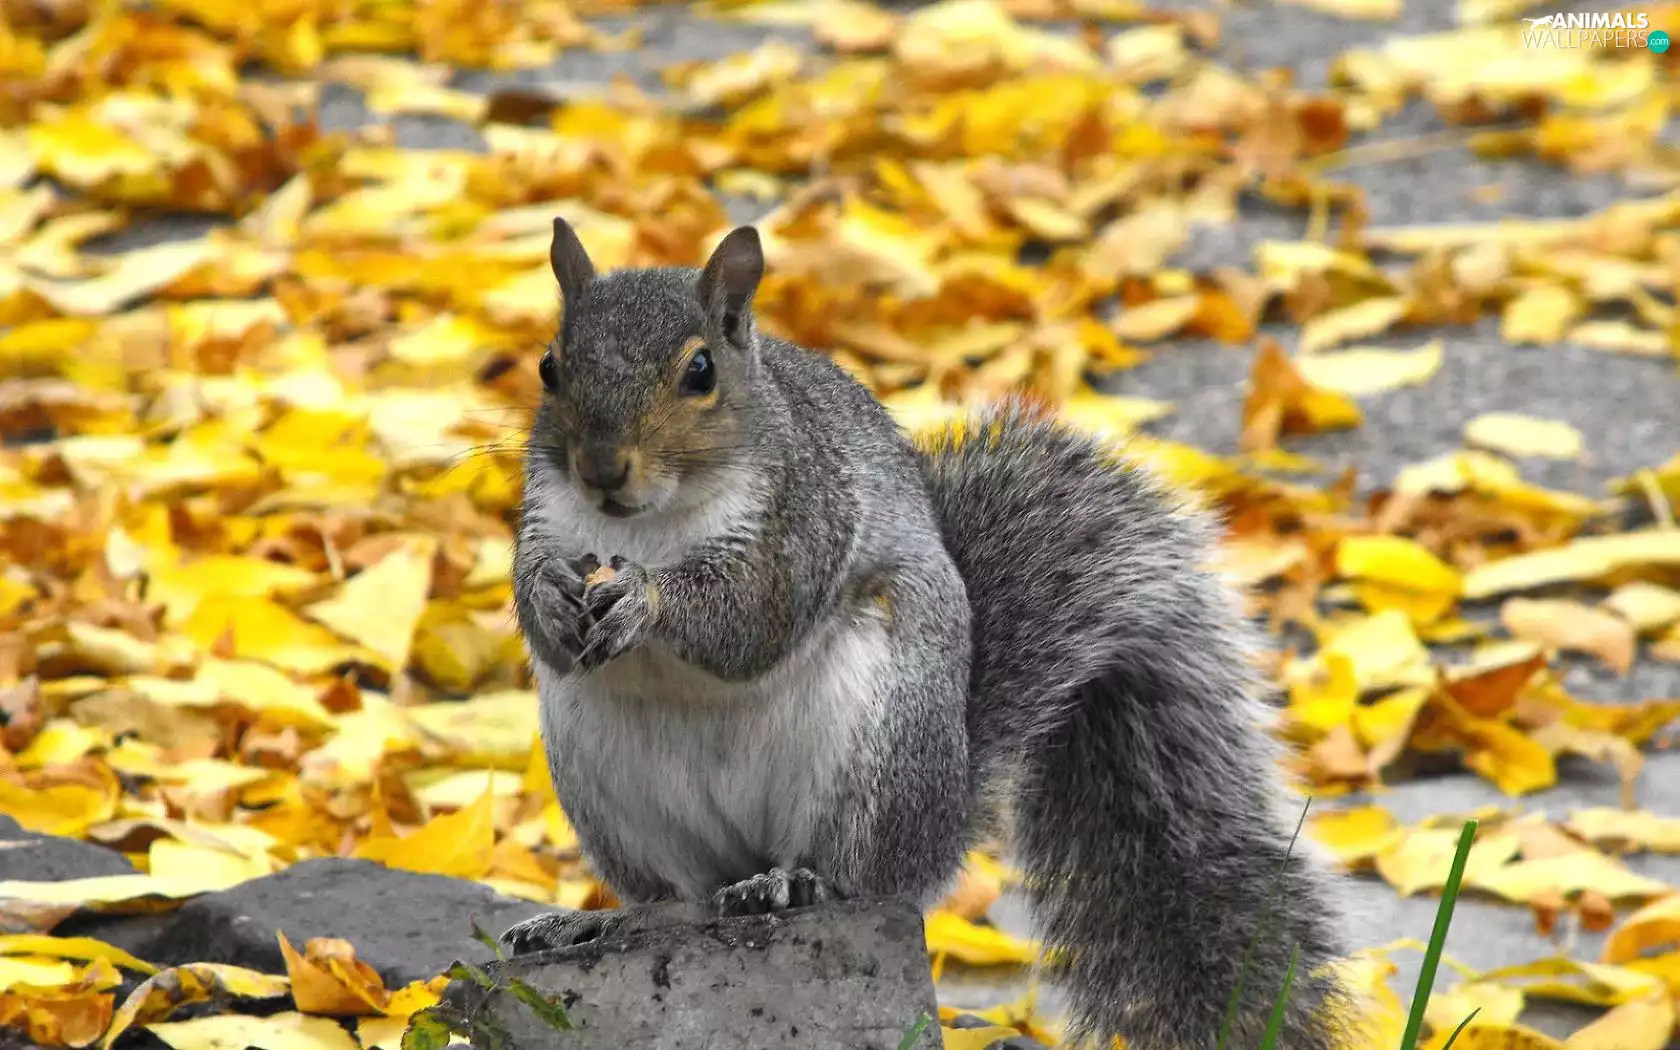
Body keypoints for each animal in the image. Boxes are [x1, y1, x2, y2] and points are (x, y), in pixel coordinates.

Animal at [500, 217, 1361, 1049]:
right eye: (548, 367)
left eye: (701, 372)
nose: (602, 469)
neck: (645, 524)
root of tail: (942, 826)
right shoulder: (548, 516)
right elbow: (538, 608)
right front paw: (550, 597)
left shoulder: (802, 517)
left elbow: (750, 617)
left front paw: (645, 599)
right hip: (605, 782)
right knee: (676, 901)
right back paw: (597, 923)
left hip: (879, 753)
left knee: (858, 879)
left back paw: (792, 883)